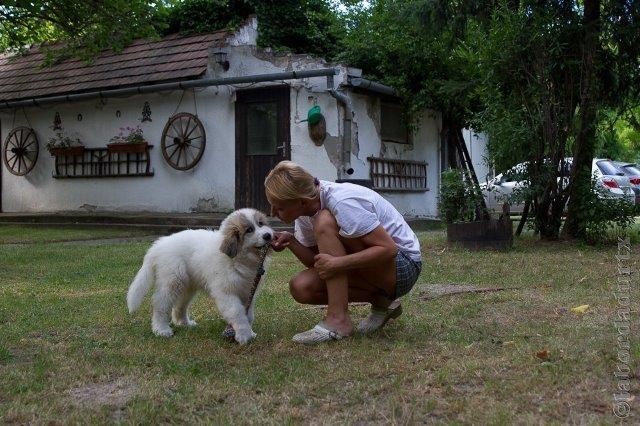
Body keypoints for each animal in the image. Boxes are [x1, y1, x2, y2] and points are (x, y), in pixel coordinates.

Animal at [126, 208, 274, 344]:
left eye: (261, 223)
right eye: (249, 230)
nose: (268, 235)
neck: (239, 259)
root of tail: (157, 246)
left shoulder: (247, 292)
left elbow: (248, 314)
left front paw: (250, 332)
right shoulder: (226, 292)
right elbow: (237, 313)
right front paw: (244, 335)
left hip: (187, 286)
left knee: (180, 305)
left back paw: (184, 323)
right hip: (172, 280)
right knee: (160, 303)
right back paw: (161, 329)